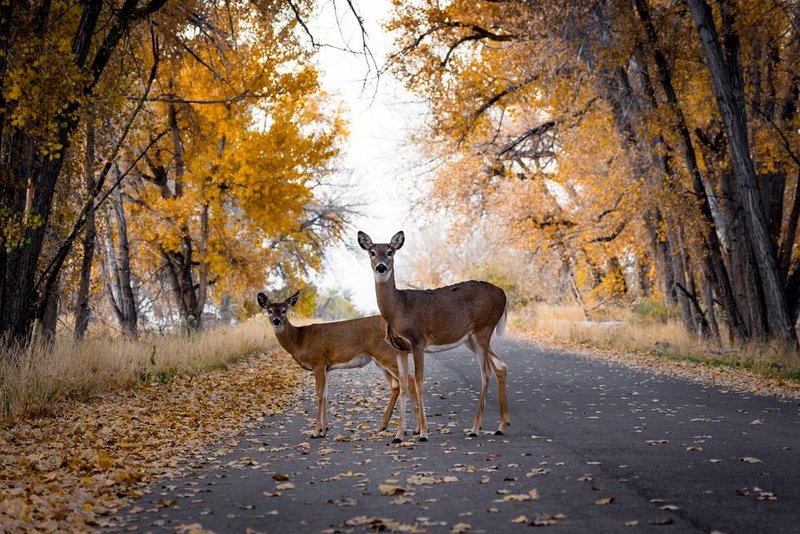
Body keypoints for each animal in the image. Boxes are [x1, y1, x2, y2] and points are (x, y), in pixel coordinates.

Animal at [258, 294, 422, 440]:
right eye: (270, 310)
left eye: (284, 310)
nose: (276, 321)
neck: (299, 340)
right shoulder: (327, 367)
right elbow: (325, 395)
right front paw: (324, 430)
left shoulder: (318, 362)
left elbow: (319, 394)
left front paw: (316, 431)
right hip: (380, 360)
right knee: (396, 385)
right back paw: (382, 427)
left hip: (386, 354)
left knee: (409, 380)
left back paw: (416, 429)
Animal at [358, 230, 510, 444]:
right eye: (372, 252)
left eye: (390, 252)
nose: (381, 267)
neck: (399, 309)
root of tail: (504, 294)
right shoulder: (400, 348)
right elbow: (404, 385)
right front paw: (398, 435)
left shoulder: (418, 341)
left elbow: (419, 382)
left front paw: (423, 433)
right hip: (470, 339)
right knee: (500, 366)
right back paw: (501, 426)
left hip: (484, 329)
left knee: (485, 373)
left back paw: (475, 428)